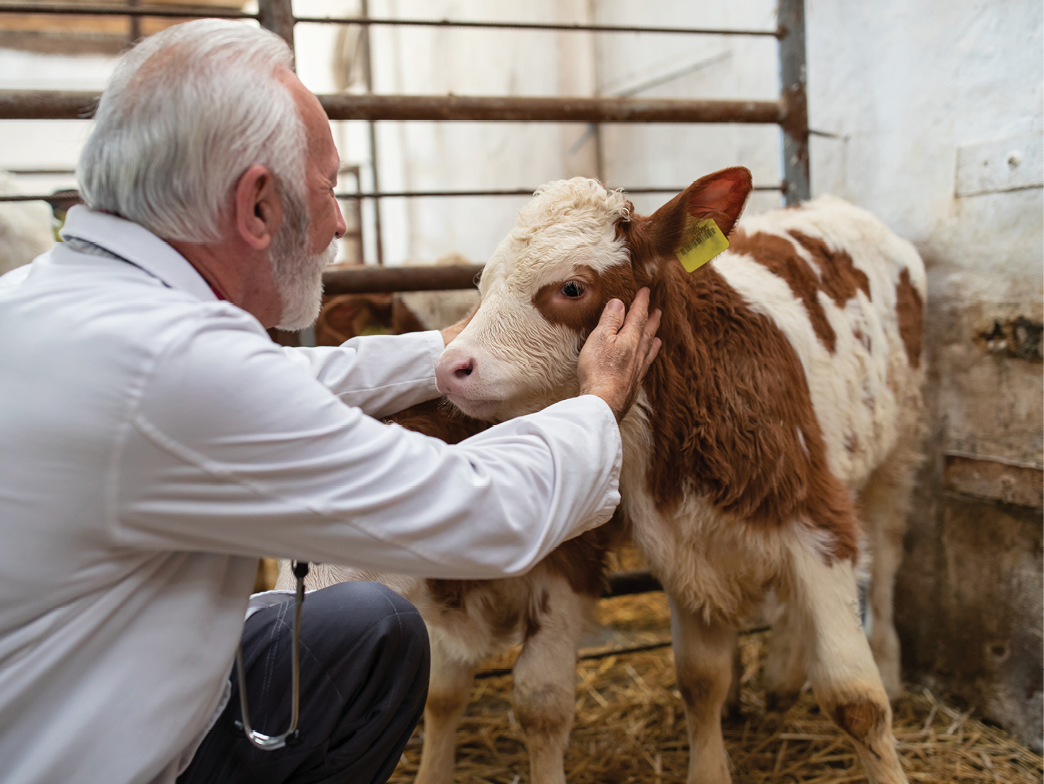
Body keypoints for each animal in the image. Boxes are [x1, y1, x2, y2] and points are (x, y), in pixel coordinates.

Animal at [431, 168, 925, 784]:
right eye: (484, 282)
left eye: (571, 288)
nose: (451, 367)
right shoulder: (682, 543)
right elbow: (699, 678)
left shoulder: (818, 521)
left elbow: (855, 698)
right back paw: (777, 678)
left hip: (897, 448)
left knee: (887, 549)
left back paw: (886, 662)